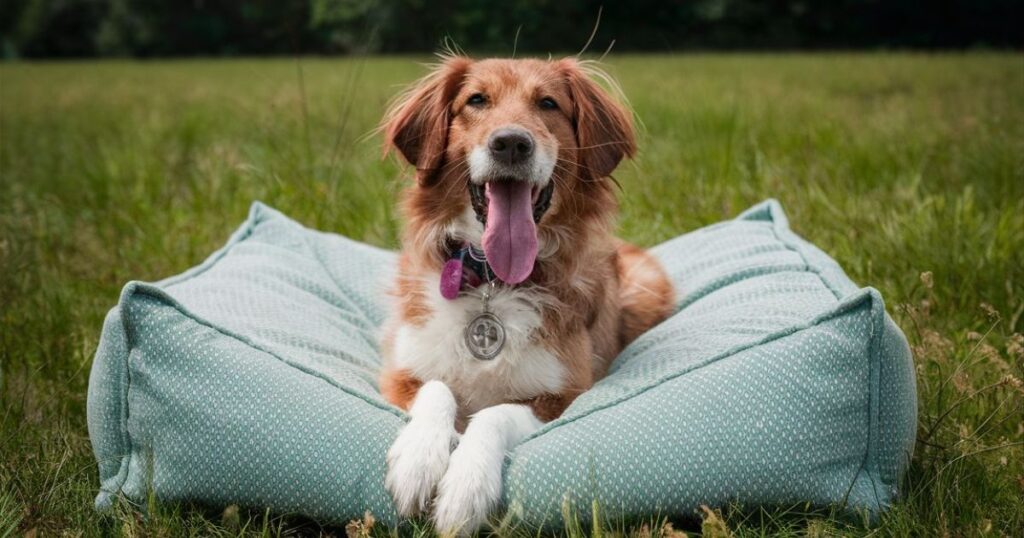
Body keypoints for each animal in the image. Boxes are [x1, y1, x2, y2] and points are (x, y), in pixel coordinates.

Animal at [380, 55, 675, 532]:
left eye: (548, 104)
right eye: (476, 100)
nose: (511, 143)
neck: (493, 281)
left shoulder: (564, 396)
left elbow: (493, 413)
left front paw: (465, 488)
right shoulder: (400, 372)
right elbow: (437, 388)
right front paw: (418, 461)